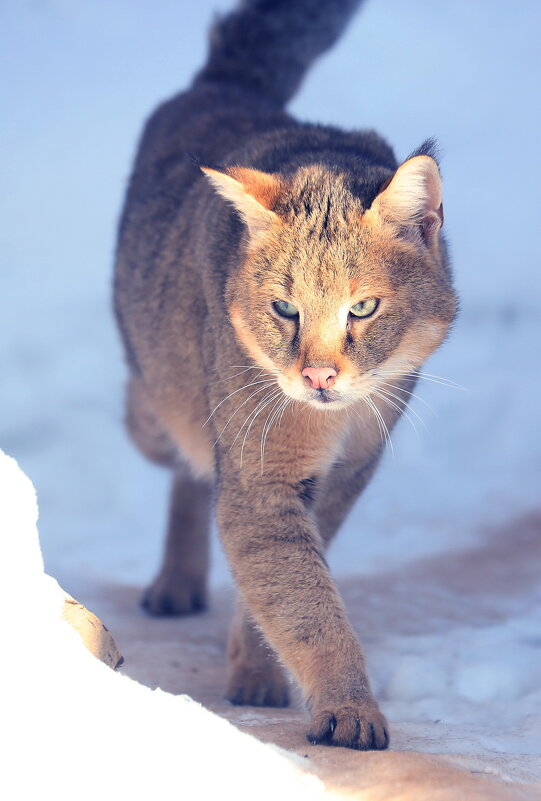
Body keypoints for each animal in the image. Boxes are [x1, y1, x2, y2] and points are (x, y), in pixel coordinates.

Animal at [113, 0, 456, 752]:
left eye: (363, 307)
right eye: (284, 308)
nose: (318, 375)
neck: (338, 420)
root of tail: (226, 83)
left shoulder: (346, 473)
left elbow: (288, 585)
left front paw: (257, 668)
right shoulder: (263, 476)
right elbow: (305, 600)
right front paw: (348, 705)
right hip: (153, 406)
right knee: (182, 454)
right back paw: (176, 577)